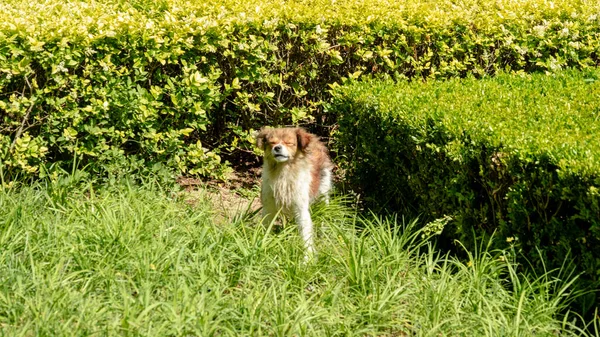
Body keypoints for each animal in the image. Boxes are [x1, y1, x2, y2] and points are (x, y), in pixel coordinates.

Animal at [256, 127, 336, 256]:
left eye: (289, 143)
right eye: (272, 143)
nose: (277, 147)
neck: (283, 173)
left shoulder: (301, 209)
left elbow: (306, 236)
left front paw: (307, 257)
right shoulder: (268, 207)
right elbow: (265, 227)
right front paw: (261, 243)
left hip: (324, 195)